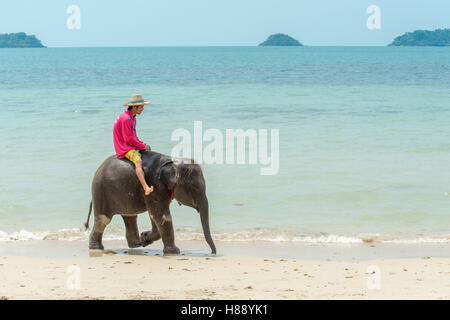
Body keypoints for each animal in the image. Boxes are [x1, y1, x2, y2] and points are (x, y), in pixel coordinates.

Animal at [85, 151, 217, 255]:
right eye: (194, 187)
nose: (213, 252)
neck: (173, 162)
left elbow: (155, 215)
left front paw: (144, 238)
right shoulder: (155, 186)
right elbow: (161, 215)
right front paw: (174, 252)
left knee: (130, 217)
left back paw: (137, 244)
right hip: (101, 191)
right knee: (103, 219)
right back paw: (96, 248)